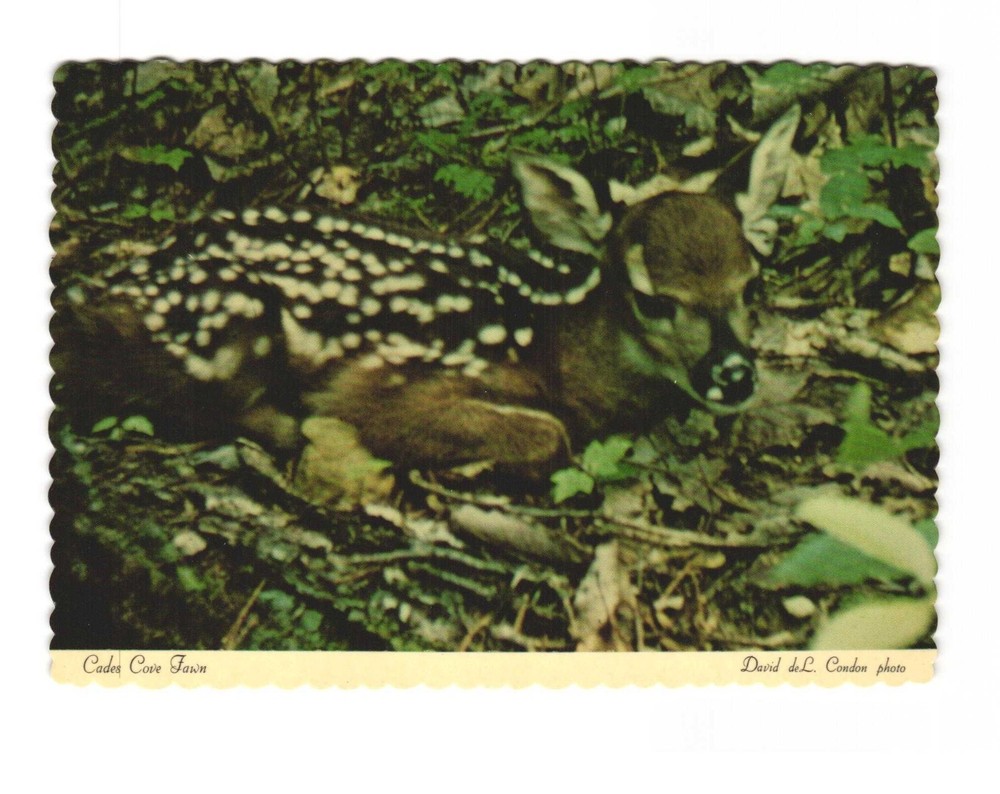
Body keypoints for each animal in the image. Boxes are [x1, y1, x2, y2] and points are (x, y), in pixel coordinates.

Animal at [53, 156, 758, 481]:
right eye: (654, 298)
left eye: (750, 278)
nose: (736, 374)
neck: (551, 339)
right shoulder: (399, 379)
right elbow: (549, 435)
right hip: (231, 318)